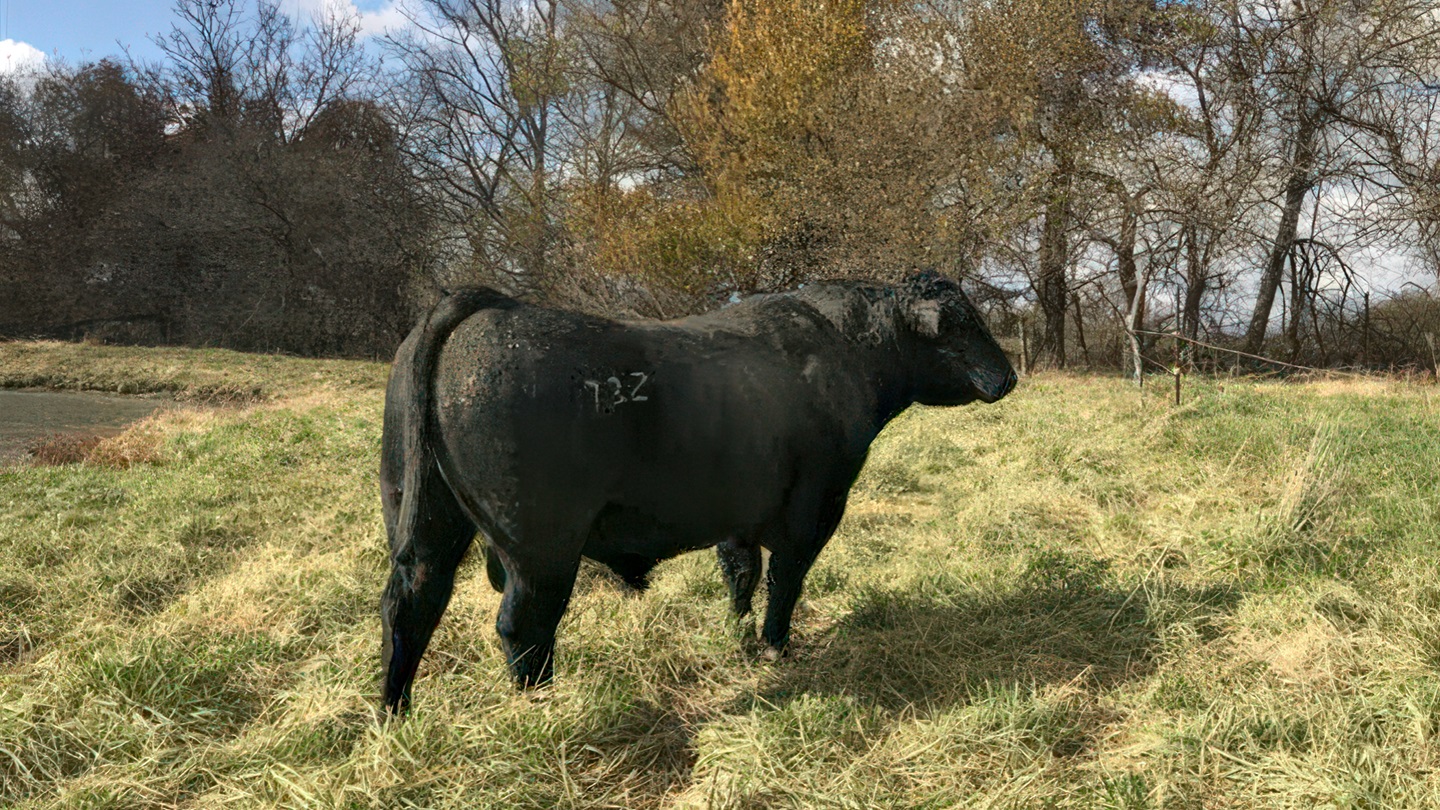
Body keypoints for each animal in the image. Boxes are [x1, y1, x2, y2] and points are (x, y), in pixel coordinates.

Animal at [379, 272, 1017, 713]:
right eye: (961, 323)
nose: (1009, 376)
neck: (846, 350)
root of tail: (490, 303)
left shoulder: (737, 509)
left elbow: (741, 572)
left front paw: (738, 634)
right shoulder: (815, 505)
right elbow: (785, 580)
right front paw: (775, 647)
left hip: (427, 520)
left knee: (410, 604)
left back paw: (396, 713)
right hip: (540, 546)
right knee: (522, 626)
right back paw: (545, 707)